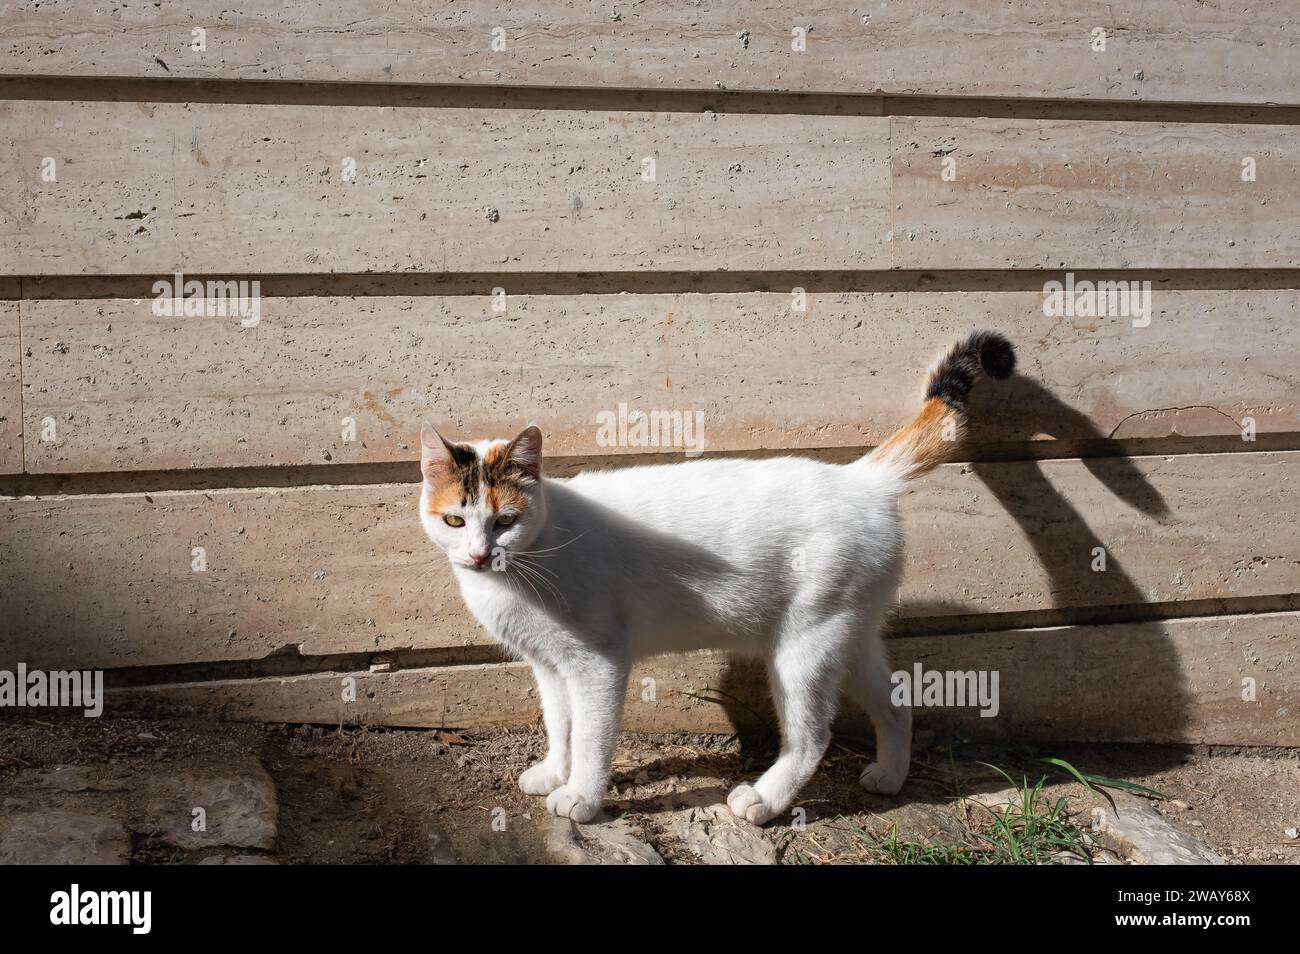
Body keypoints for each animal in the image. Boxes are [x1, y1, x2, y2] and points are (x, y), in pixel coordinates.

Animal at [416, 332, 1013, 826]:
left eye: (504, 521)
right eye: (455, 521)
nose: (479, 554)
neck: (534, 557)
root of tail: (859, 478)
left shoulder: (597, 665)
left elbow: (589, 737)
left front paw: (582, 796)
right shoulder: (549, 666)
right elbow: (560, 727)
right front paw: (553, 772)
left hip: (805, 648)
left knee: (812, 737)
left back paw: (765, 800)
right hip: (851, 636)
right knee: (895, 703)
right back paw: (890, 777)